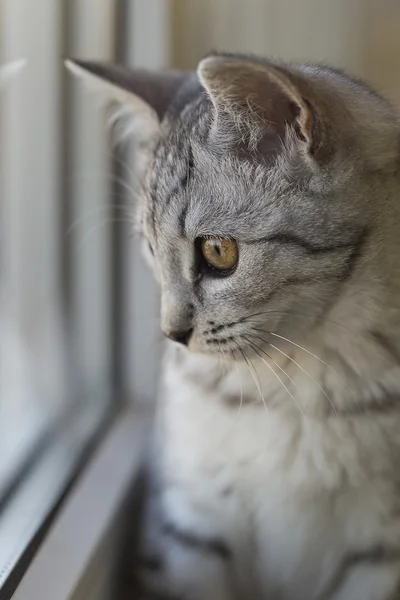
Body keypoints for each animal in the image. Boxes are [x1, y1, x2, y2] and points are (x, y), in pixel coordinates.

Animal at [66, 54, 400, 596]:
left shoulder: (381, 553)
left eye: (218, 252)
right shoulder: (190, 523)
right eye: (150, 250)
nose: (172, 334)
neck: (297, 388)